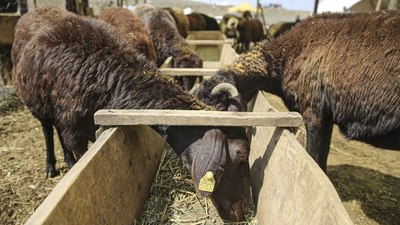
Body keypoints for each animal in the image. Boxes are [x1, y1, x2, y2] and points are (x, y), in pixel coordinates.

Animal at [11, 5, 250, 221]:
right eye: (241, 154)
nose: (242, 212)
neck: (109, 78)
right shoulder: (75, 135)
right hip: (37, 104)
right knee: (48, 130)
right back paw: (51, 166)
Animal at [195, 11, 400, 171]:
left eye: (219, 107)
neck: (286, 56)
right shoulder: (326, 117)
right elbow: (322, 158)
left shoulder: (314, 113)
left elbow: (314, 156)